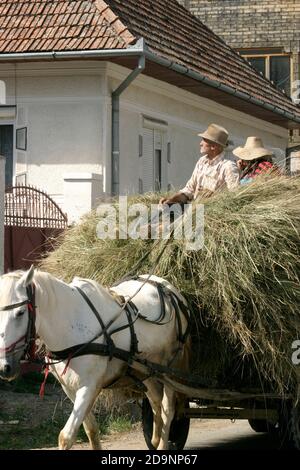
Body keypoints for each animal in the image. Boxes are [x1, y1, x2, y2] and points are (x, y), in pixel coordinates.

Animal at [0, 268, 190, 448]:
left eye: (20, 312)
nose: (4, 367)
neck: (70, 324)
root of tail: (166, 285)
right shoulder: (69, 388)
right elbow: (91, 429)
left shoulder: (89, 386)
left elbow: (66, 436)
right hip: (147, 370)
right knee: (156, 401)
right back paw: (155, 439)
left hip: (171, 370)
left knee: (168, 410)